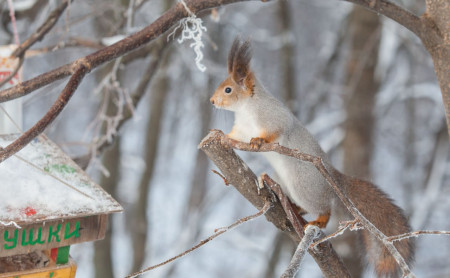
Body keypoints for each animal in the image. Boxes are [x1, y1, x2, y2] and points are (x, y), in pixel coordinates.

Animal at [211, 37, 414, 278]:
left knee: (325, 210)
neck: (246, 109)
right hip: (288, 185)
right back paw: (294, 208)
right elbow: (234, 136)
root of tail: (333, 178)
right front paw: (220, 135)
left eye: (228, 89)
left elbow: (276, 131)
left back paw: (317, 221)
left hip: (304, 187)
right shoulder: (241, 129)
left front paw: (259, 141)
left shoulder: (273, 117)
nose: (212, 101)